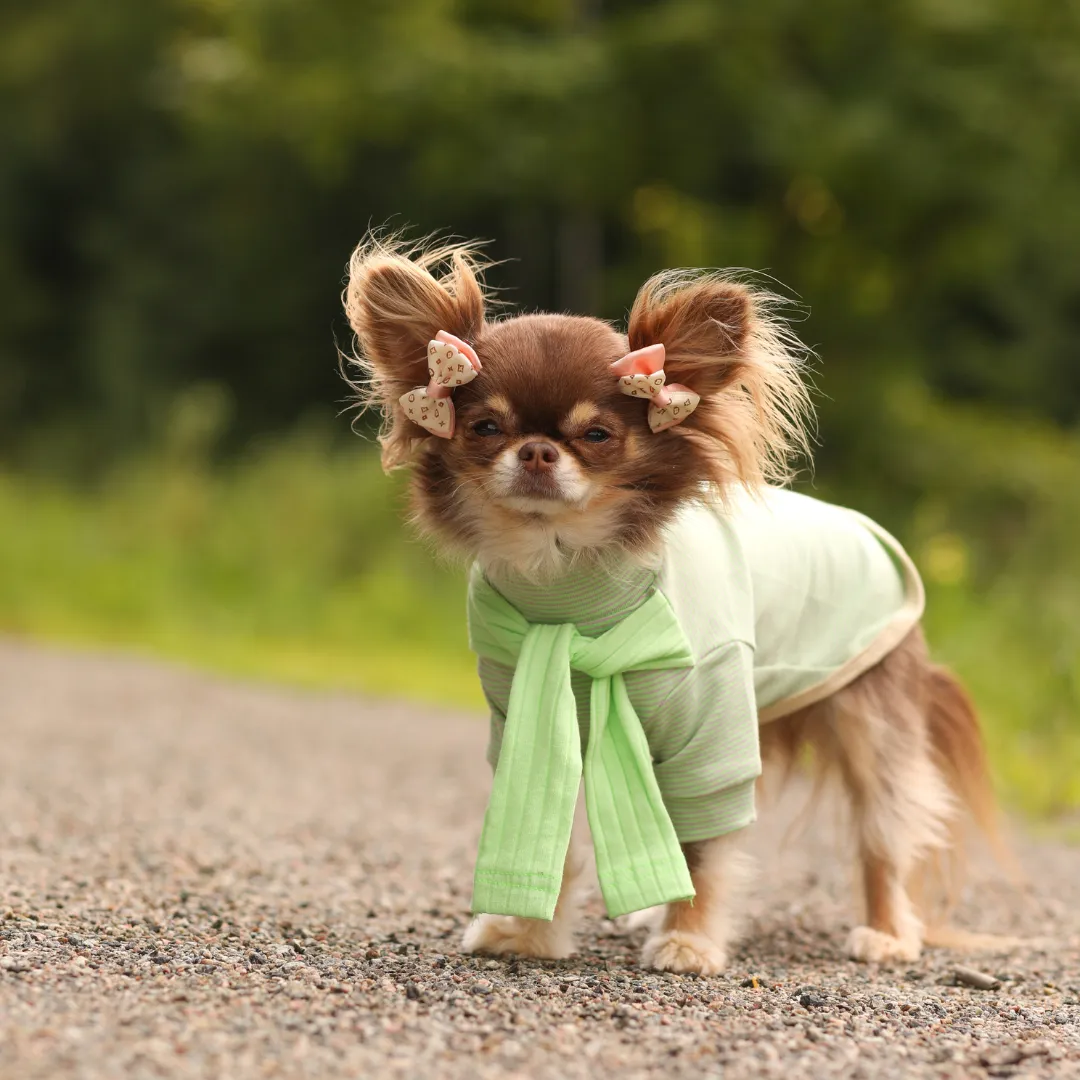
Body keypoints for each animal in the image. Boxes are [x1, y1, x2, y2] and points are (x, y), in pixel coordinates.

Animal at [341, 232, 997, 976]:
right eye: (484, 427)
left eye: (596, 436)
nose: (536, 450)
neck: (568, 590)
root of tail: (873, 533)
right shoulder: (528, 718)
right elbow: (554, 831)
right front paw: (527, 933)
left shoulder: (710, 748)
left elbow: (706, 852)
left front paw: (689, 940)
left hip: (868, 721)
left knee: (881, 835)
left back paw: (886, 933)